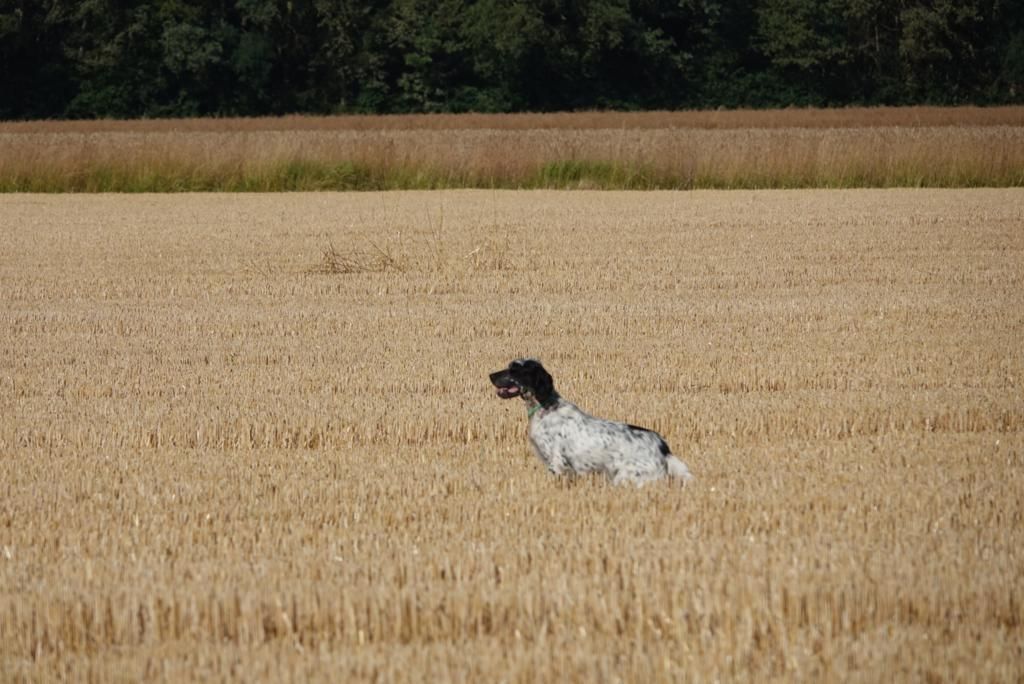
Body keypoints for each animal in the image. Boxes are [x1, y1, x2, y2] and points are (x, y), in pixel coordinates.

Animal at [489, 358, 696, 485]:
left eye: (514, 370)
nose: (490, 375)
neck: (545, 406)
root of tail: (663, 446)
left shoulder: (557, 463)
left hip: (628, 477)